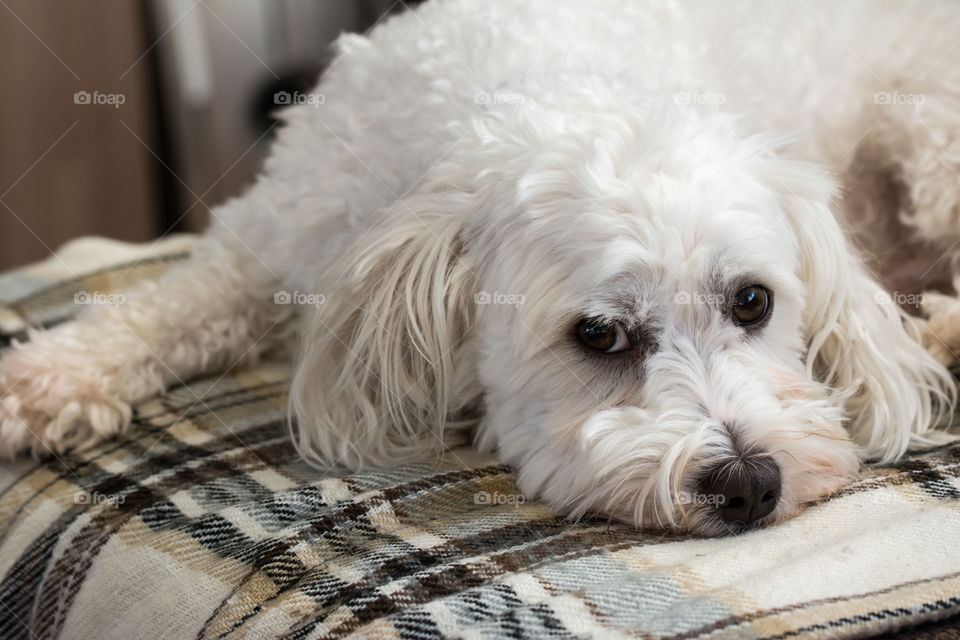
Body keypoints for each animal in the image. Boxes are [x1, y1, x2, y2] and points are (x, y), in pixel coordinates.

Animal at [1, 0, 960, 536]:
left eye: (753, 301)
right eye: (599, 334)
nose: (751, 482)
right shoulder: (270, 233)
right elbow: (169, 303)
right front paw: (47, 379)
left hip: (928, 136)